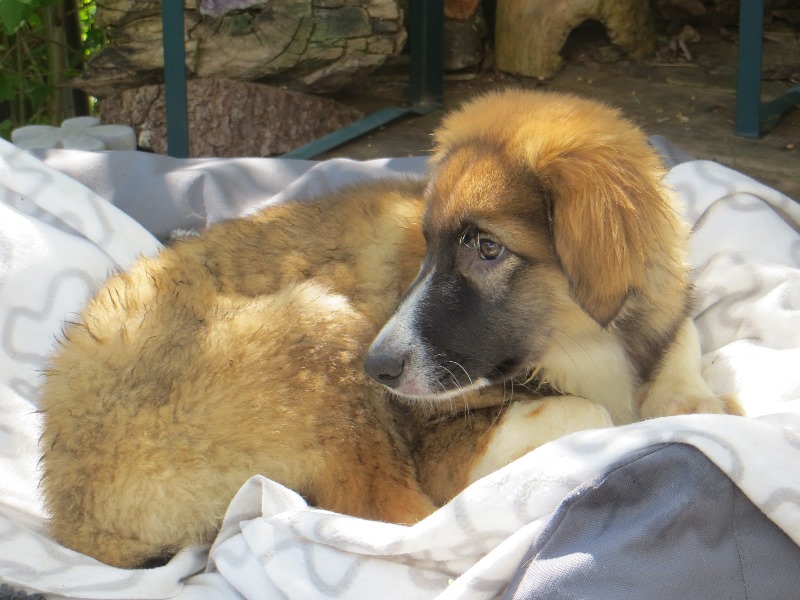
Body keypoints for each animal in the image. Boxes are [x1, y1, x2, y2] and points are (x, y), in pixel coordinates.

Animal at [365, 89, 742, 425]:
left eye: (489, 247)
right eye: (427, 241)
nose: (375, 368)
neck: (588, 345)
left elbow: (684, 329)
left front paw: (689, 400)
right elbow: (590, 411)